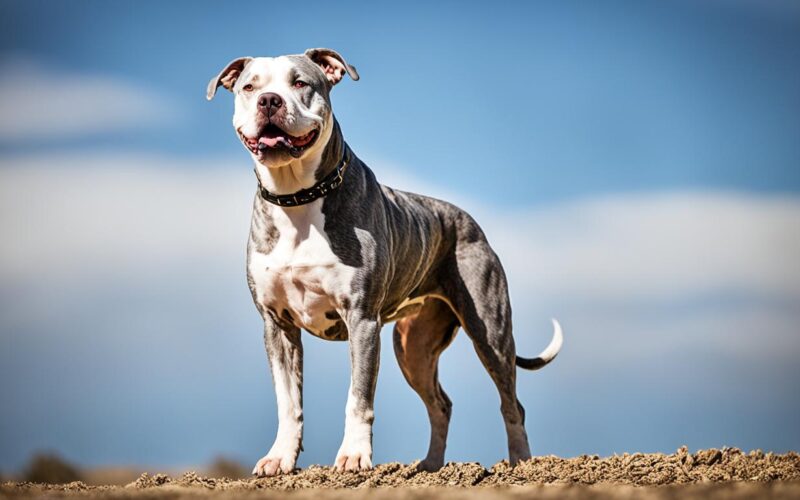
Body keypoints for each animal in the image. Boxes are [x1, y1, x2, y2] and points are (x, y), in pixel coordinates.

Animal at [205, 47, 564, 476]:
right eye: (249, 87)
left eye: (300, 82)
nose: (269, 101)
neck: (298, 199)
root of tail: (467, 220)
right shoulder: (277, 325)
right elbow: (288, 403)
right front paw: (279, 458)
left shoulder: (361, 320)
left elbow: (358, 398)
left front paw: (354, 457)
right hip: (412, 347)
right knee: (441, 404)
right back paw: (430, 467)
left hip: (490, 333)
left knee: (512, 404)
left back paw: (523, 466)